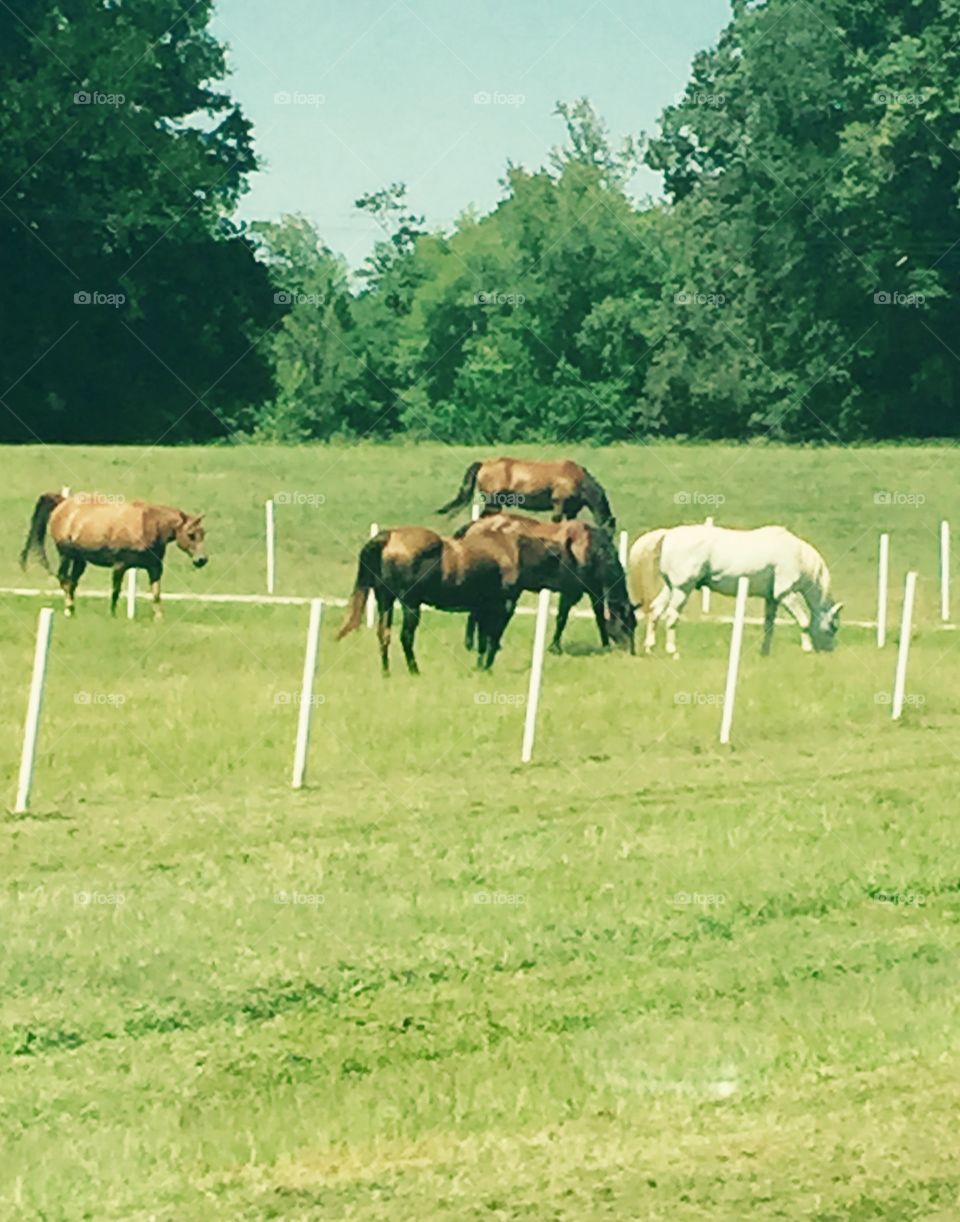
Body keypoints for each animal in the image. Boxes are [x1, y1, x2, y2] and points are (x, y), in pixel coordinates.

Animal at [20, 492, 207, 618]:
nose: (201, 560)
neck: (148, 524)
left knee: (72, 583)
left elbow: (156, 593)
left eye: (203, 533)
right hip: (66, 555)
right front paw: (112, 614)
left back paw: (72, 610)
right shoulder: (120, 566)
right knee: (64, 579)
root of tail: (63, 503)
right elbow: (116, 591)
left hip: (80, 561)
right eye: (191, 534)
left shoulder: (155, 568)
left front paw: (159, 618)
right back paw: (69, 608)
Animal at [337, 525, 544, 674]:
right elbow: (492, 639)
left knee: (384, 634)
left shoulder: (483, 608)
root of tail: (388, 537)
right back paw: (414, 671)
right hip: (410, 604)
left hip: (385, 600)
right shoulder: (503, 607)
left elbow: (483, 640)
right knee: (405, 637)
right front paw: (485, 669)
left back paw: (386, 673)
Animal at [454, 513, 635, 655]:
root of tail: (475, 524)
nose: (631, 651)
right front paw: (555, 647)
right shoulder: (570, 592)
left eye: (635, 625)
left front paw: (605, 645)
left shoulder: (593, 591)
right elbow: (562, 618)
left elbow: (599, 616)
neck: (591, 550)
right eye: (625, 625)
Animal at [627, 524, 842, 657]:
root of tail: (668, 534)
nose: (828, 651)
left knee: (655, 611)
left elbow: (769, 626)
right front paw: (807, 648)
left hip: (671, 588)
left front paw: (765, 653)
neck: (797, 555)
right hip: (682, 589)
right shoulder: (785, 595)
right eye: (833, 627)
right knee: (671, 616)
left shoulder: (771, 599)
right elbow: (803, 621)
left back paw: (650, 648)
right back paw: (673, 651)